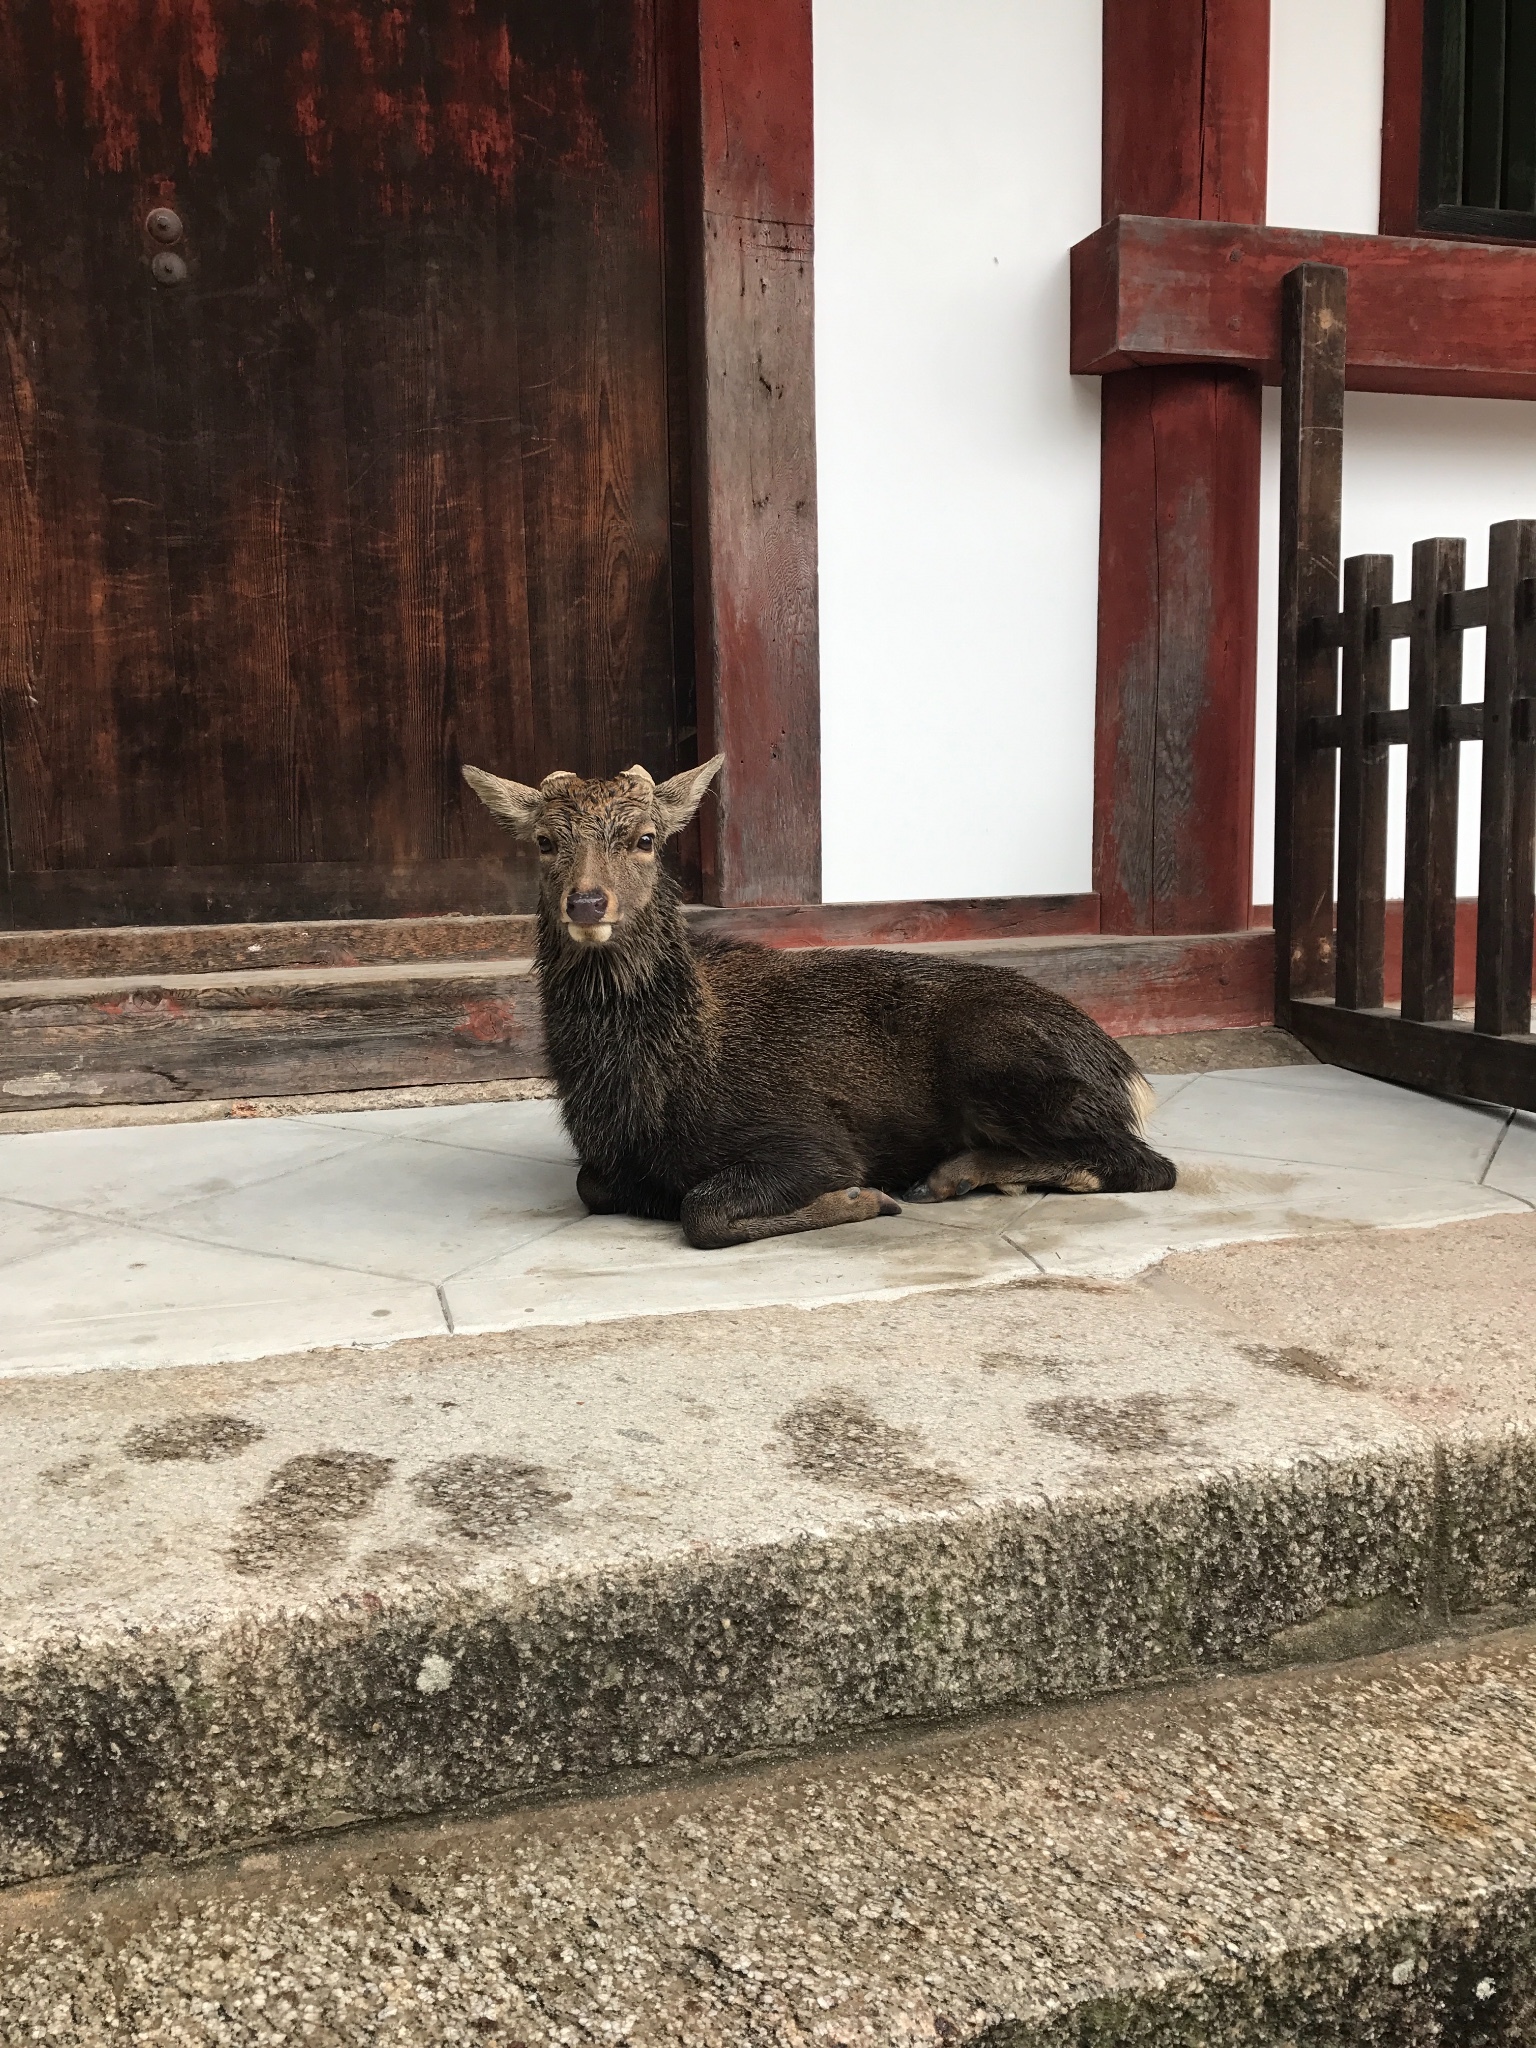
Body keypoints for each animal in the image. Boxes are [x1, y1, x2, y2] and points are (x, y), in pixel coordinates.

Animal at [460, 757, 1179, 1245]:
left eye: (645, 837)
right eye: (545, 841)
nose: (586, 902)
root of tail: (1129, 1074)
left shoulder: (811, 1142)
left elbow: (701, 1209)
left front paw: (863, 1199)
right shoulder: (607, 1165)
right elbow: (595, 1186)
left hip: (1003, 1064)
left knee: (1149, 1165)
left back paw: (952, 1173)